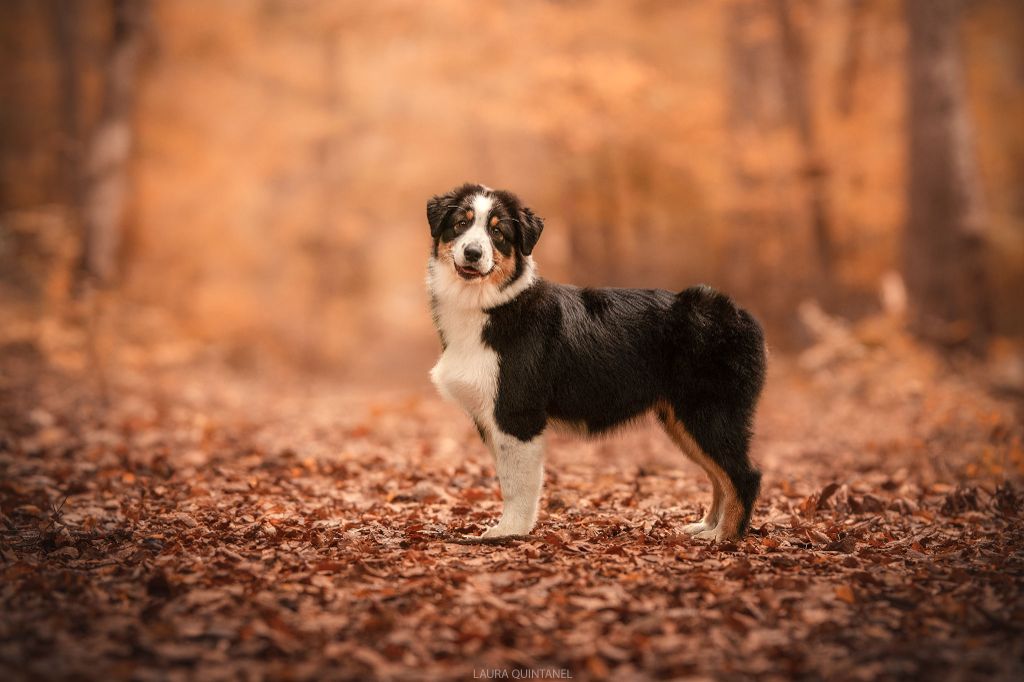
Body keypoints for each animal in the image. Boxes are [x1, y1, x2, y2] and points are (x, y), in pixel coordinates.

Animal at [425, 183, 770, 540]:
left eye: (498, 232)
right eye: (461, 223)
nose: (473, 253)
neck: (491, 304)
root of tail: (741, 316)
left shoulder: (517, 413)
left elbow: (517, 483)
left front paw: (509, 530)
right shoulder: (491, 418)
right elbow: (506, 477)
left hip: (710, 412)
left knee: (744, 475)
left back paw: (723, 537)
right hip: (682, 419)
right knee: (719, 475)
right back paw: (706, 526)